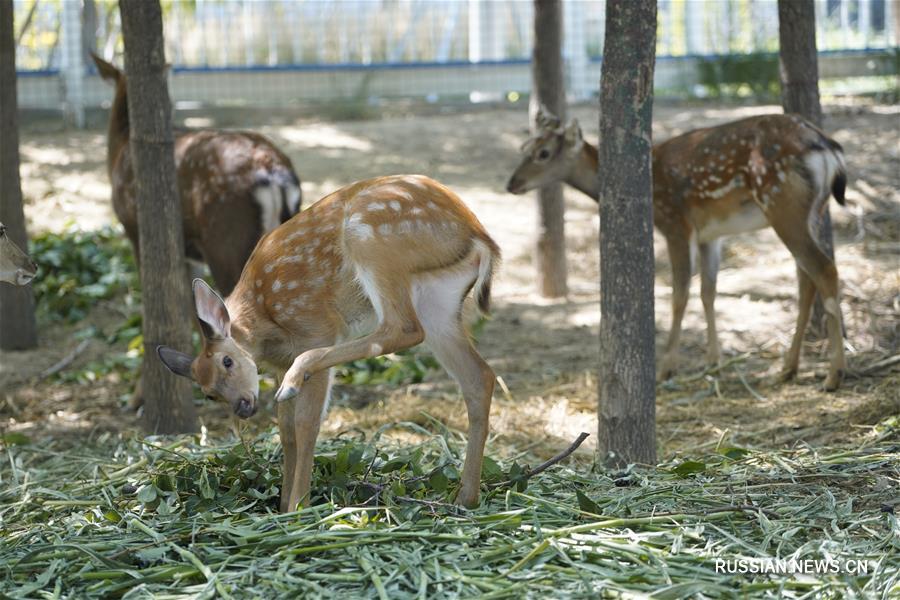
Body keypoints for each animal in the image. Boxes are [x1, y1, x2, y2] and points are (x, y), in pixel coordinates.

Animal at [158, 173, 502, 510]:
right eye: (208, 393)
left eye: (227, 361)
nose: (242, 406)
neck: (265, 323)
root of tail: (480, 236)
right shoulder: (279, 366)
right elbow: (285, 430)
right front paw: (283, 505)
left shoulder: (315, 326)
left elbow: (306, 422)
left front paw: (298, 507)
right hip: (438, 303)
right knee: (479, 376)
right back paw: (465, 498)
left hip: (372, 241)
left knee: (402, 328)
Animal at [510, 108, 848, 392]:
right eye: (524, 147)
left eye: (543, 153)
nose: (511, 183)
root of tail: (826, 147)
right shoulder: (710, 234)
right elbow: (708, 291)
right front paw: (713, 360)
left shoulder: (674, 222)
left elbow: (679, 294)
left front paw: (667, 367)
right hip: (813, 211)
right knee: (807, 279)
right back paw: (788, 369)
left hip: (781, 203)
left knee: (824, 269)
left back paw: (833, 375)